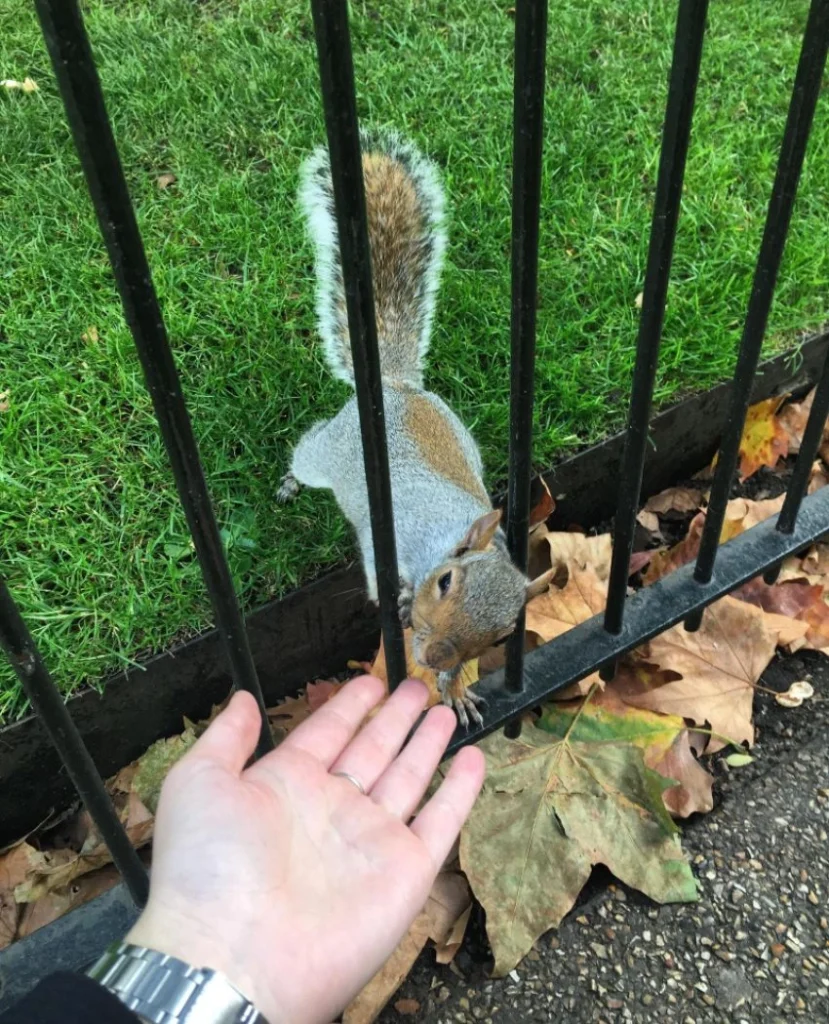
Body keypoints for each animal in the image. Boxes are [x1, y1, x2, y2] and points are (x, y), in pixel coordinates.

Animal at [278, 129, 550, 726]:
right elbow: (376, 569)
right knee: (305, 452)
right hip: (329, 450)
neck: (442, 540)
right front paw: (400, 598)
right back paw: (289, 481)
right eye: (446, 582)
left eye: (504, 633)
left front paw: (454, 687)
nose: (434, 657)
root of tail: (396, 385)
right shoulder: (393, 531)